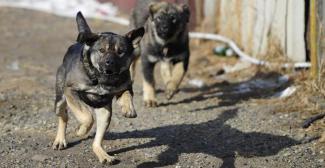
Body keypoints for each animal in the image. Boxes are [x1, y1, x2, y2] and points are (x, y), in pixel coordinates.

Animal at [52, 12, 144, 164]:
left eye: (121, 52)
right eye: (101, 50)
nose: (109, 62)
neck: (102, 79)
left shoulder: (125, 86)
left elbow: (126, 94)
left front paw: (129, 109)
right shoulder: (70, 91)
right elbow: (87, 117)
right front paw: (81, 130)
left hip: (105, 113)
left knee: (97, 141)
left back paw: (103, 155)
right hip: (60, 99)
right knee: (63, 116)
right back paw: (60, 140)